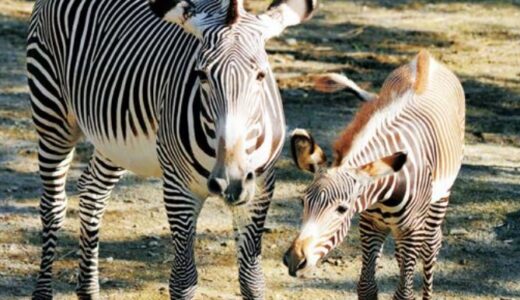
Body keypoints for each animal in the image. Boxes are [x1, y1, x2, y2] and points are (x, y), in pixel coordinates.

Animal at [28, 0, 316, 298]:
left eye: (261, 75)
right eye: (201, 75)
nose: (231, 182)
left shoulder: (259, 188)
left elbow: (252, 280)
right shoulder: (179, 190)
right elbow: (183, 280)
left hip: (115, 139)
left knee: (91, 190)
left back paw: (88, 289)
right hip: (52, 112)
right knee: (53, 205)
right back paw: (44, 290)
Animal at [282, 50, 466, 298]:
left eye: (342, 209)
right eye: (303, 202)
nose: (295, 260)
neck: (384, 190)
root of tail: (426, 57)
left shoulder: (410, 230)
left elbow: (404, 293)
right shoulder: (370, 224)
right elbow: (366, 286)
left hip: (441, 197)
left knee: (432, 245)